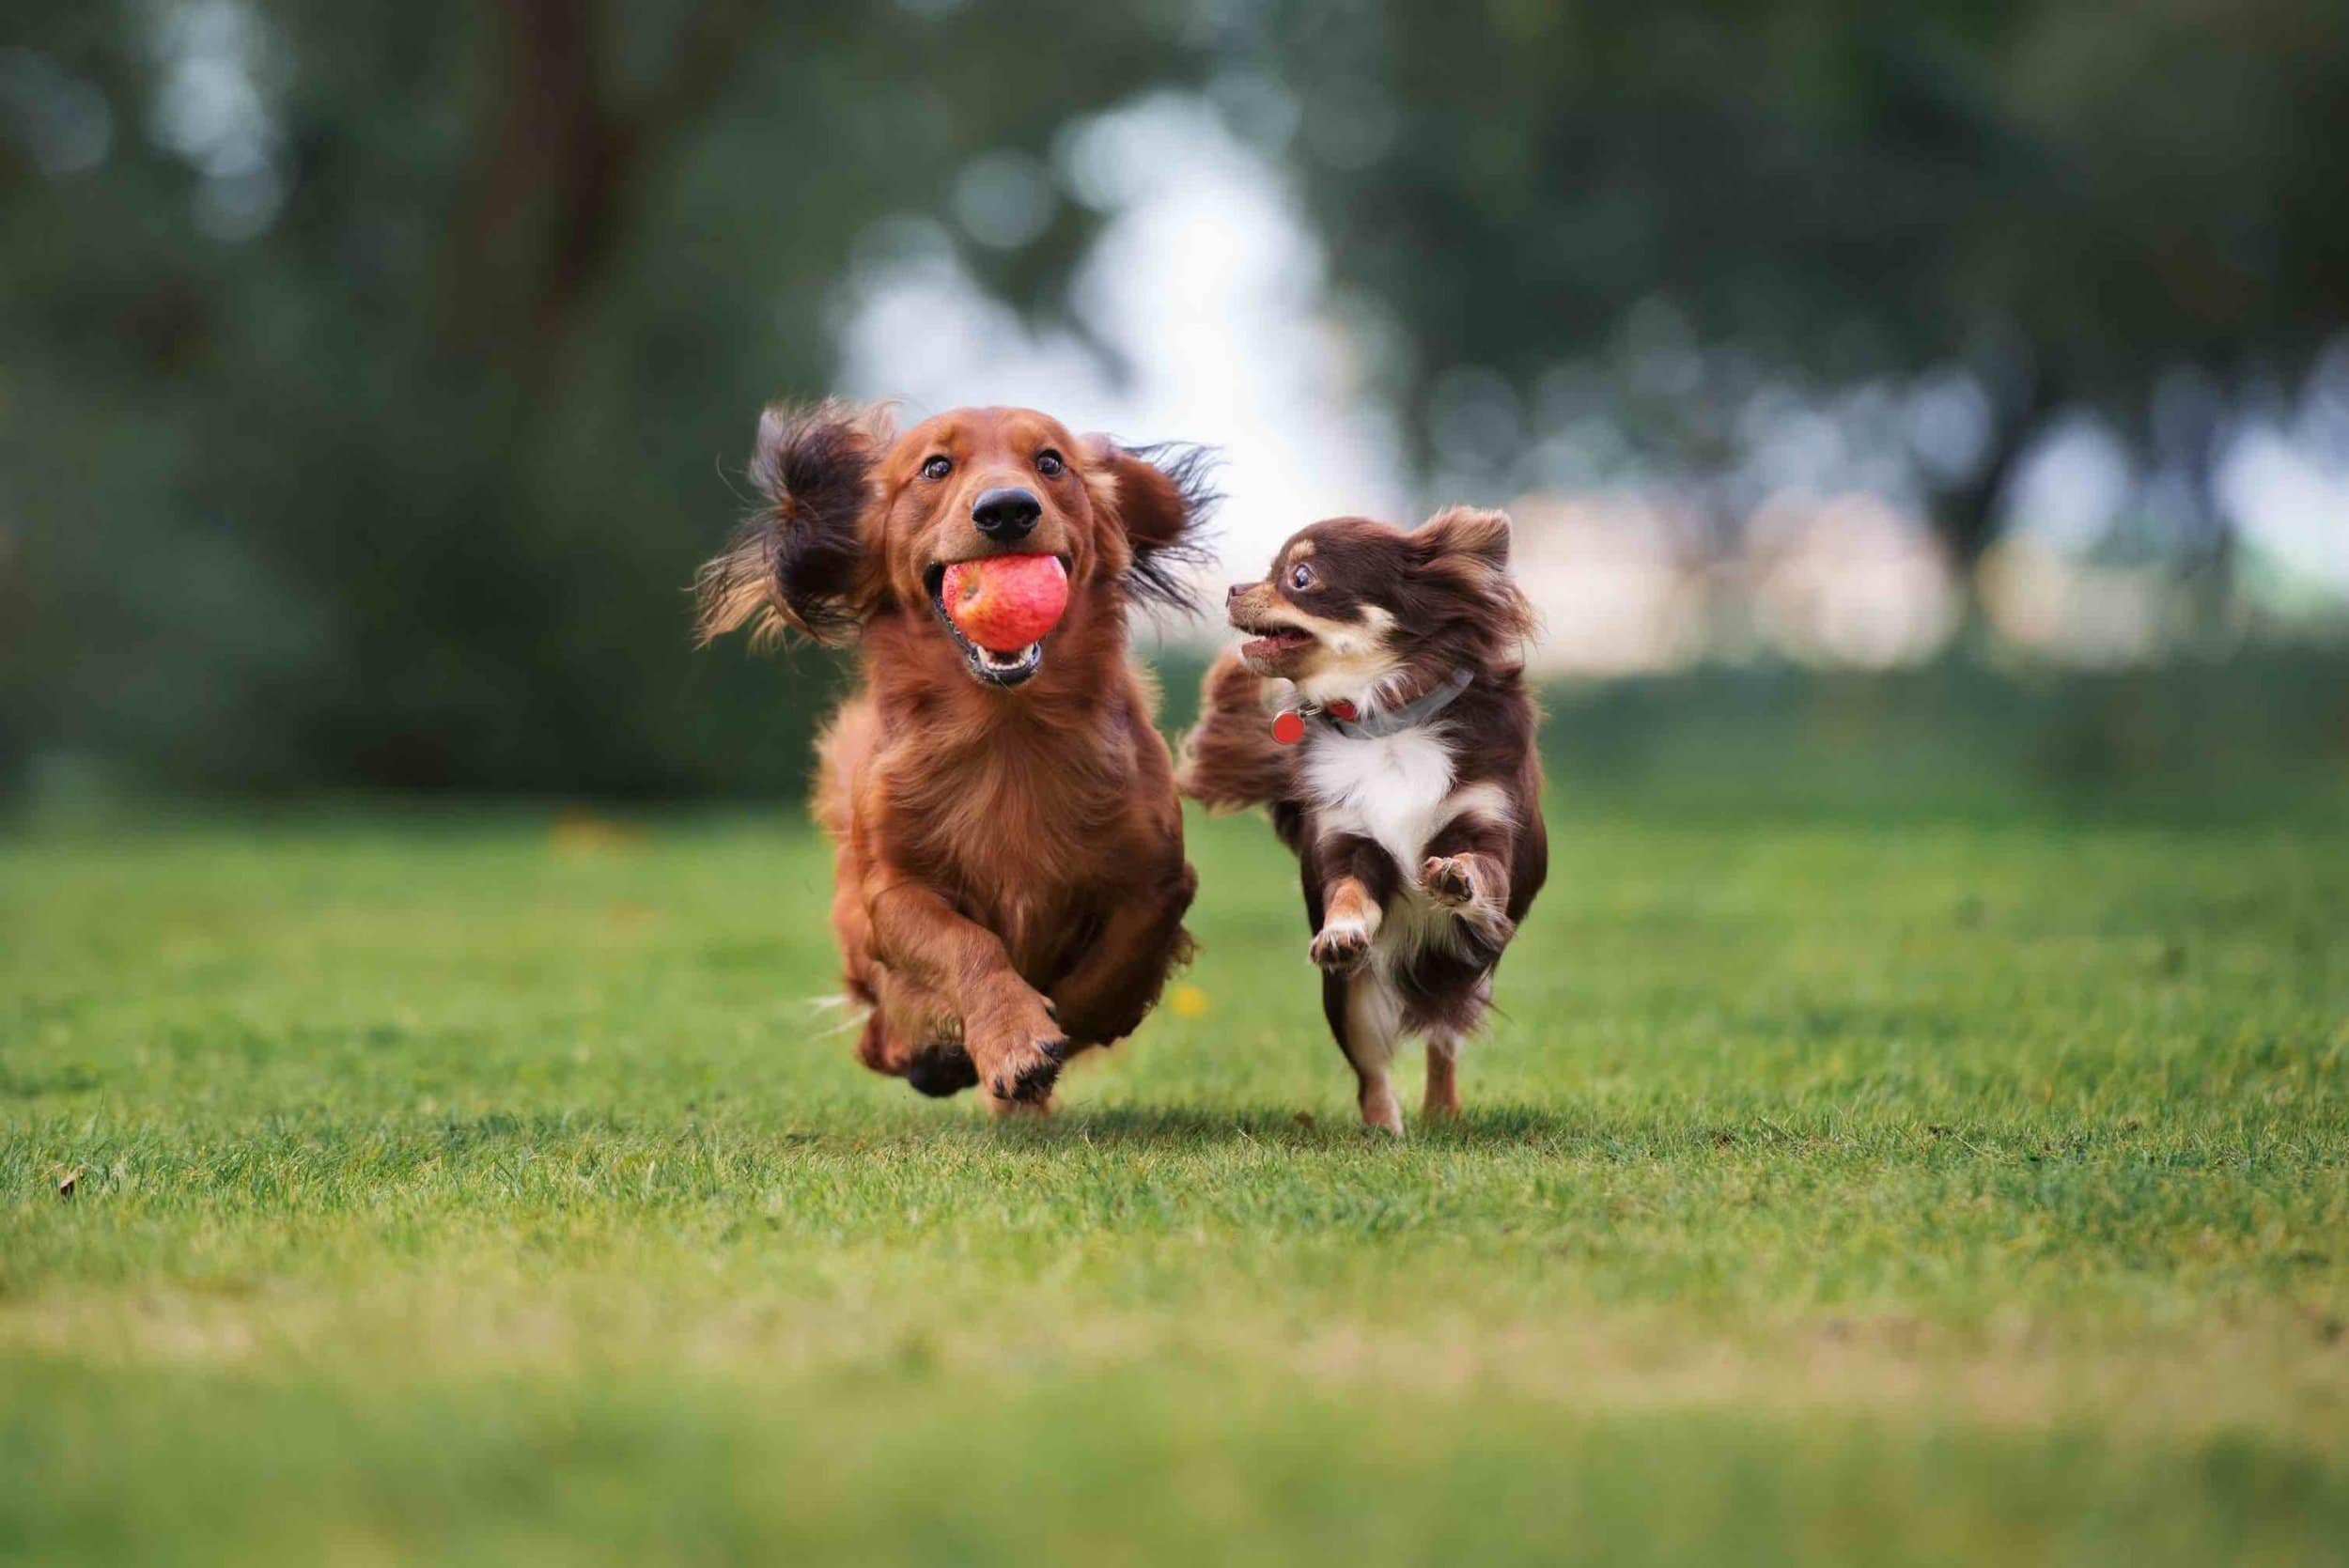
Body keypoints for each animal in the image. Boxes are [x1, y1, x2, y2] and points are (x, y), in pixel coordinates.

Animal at [695, 403, 1212, 1112]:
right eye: (936, 467)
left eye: (1050, 461)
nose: (1007, 510)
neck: (1007, 731)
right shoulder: (892, 891)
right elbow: (967, 944)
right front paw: (1012, 1036)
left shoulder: (1158, 877)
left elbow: (1113, 967)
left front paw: (1057, 1028)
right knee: (878, 1033)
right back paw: (931, 1054)